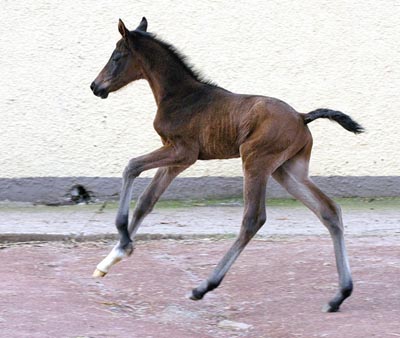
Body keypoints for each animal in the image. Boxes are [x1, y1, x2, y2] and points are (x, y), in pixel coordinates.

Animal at [90, 16, 362, 312]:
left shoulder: (182, 152)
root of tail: (302, 117)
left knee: (253, 218)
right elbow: (146, 201)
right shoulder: (177, 159)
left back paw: (204, 286)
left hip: (255, 160)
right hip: (288, 170)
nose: (95, 86)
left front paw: (123, 240)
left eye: (117, 57)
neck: (180, 96)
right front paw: (112, 258)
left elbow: (131, 166)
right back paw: (340, 295)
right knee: (329, 210)